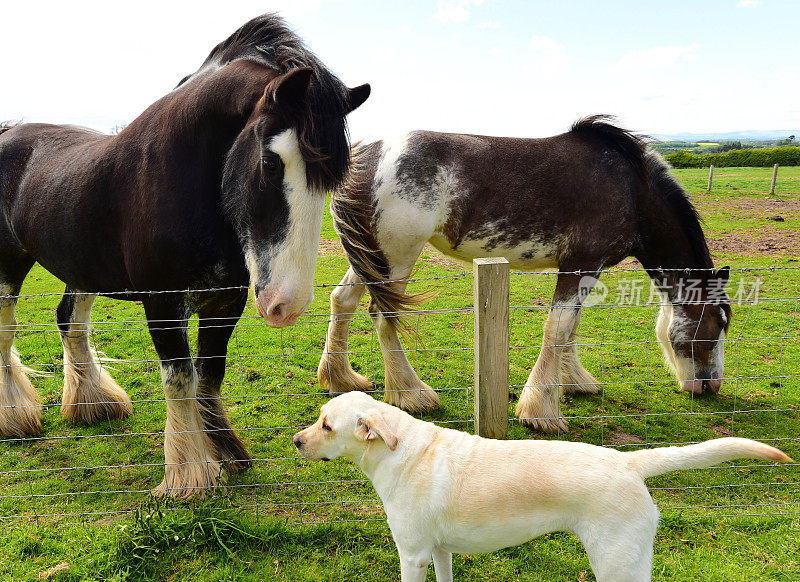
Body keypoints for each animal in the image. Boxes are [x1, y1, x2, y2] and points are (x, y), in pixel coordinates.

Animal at [0, 13, 370, 498]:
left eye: (332, 178)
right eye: (271, 164)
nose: (286, 306)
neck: (185, 180)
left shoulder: (227, 300)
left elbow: (209, 373)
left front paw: (225, 451)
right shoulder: (161, 303)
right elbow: (179, 379)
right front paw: (189, 475)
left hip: (83, 271)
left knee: (70, 322)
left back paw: (94, 404)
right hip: (8, 264)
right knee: (6, 333)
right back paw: (14, 417)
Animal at [318, 118, 732, 436]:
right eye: (717, 324)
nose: (711, 384)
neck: (631, 191)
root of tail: (362, 155)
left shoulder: (585, 269)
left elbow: (571, 328)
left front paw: (575, 382)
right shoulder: (581, 263)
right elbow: (559, 328)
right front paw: (541, 412)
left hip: (370, 258)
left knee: (343, 301)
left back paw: (342, 379)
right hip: (397, 257)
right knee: (382, 314)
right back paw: (410, 393)